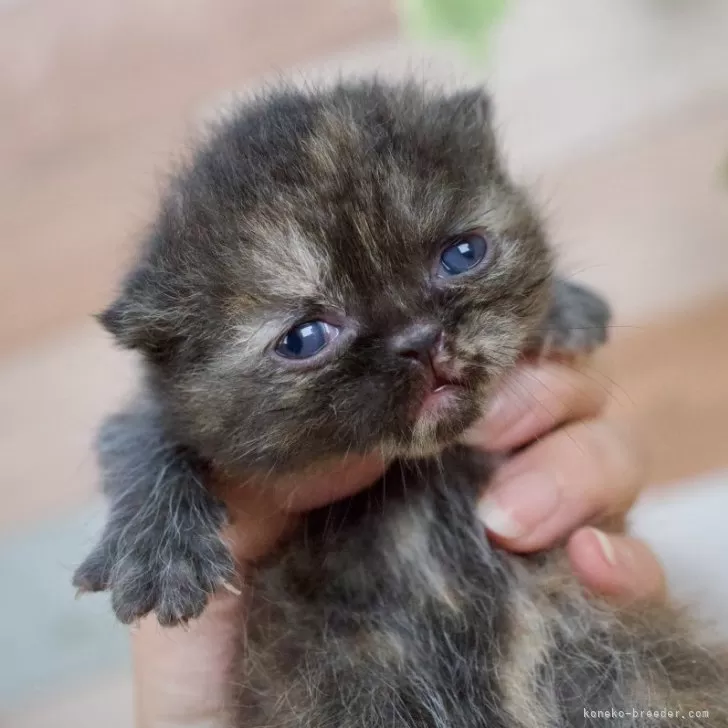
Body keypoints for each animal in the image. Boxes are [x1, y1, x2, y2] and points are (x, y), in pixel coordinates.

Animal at [75, 82, 728, 724]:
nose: (420, 339)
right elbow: (139, 430)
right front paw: (157, 548)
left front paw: (564, 305)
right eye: (304, 338)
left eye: (463, 254)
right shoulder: (158, 405)